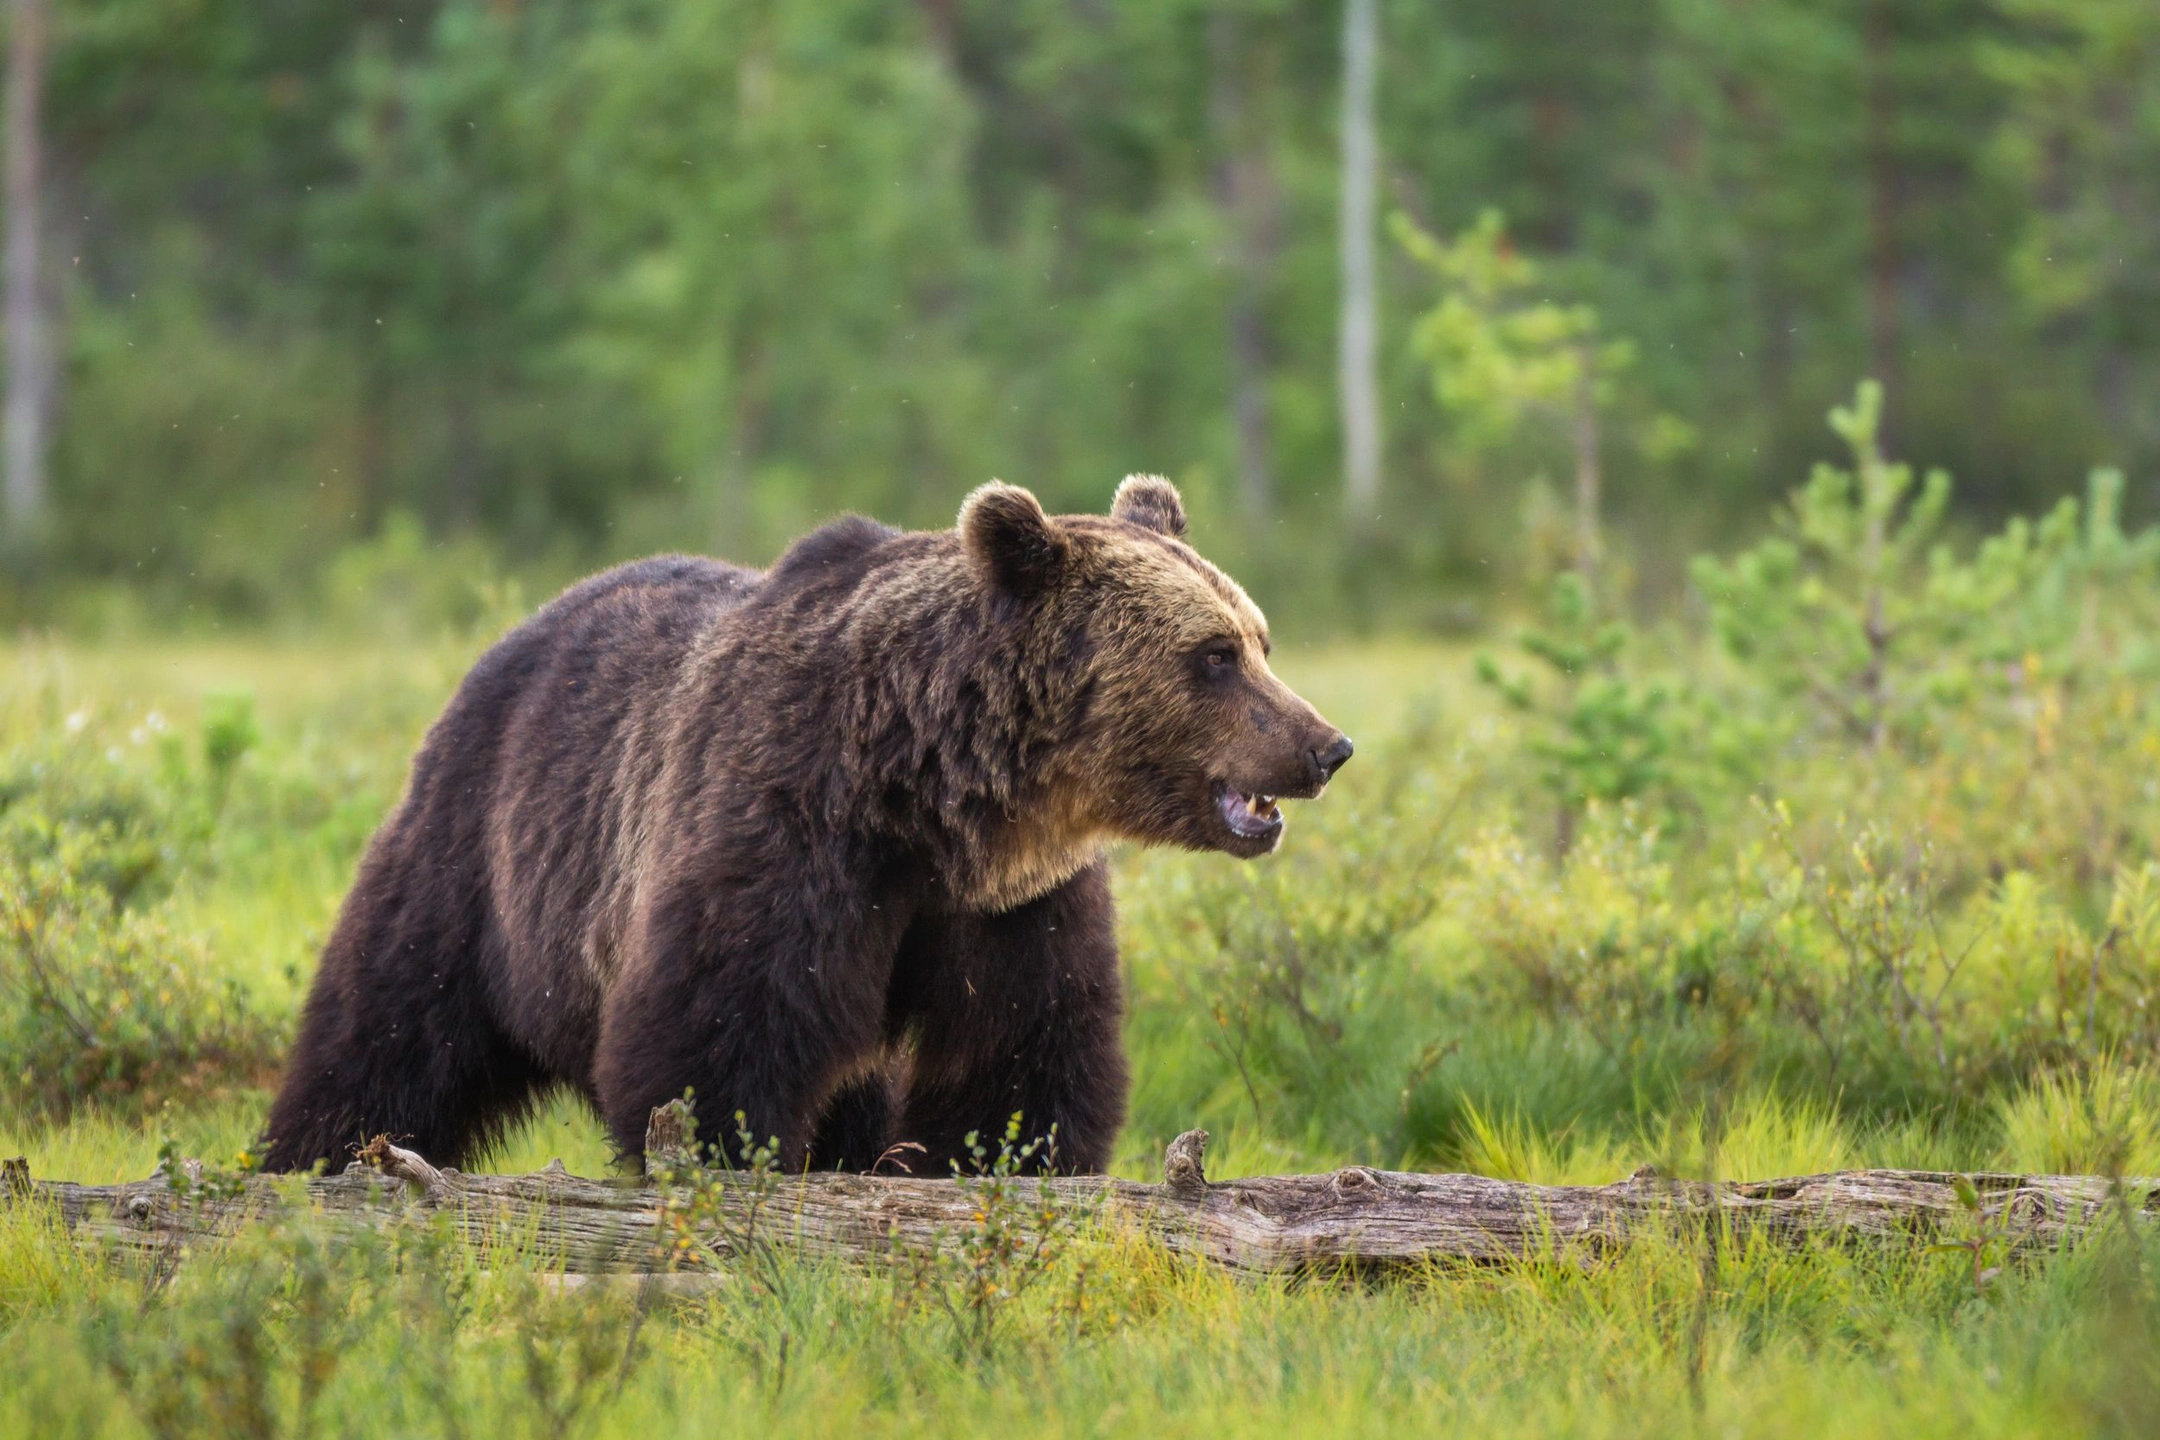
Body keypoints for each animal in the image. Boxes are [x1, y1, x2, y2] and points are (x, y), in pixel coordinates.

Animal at [261, 479, 1347, 1174]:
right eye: (1213, 655)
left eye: (1259, 639)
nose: (1326, 745)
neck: (935, 796)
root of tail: (515, 633)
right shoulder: (787, 823)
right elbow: (720, 1035)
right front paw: (732, 1163)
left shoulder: (1012, 904)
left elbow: (1021, 1050)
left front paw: (1004, 1162)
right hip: (486, 854)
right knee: (390, 1030)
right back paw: (310, 1160)